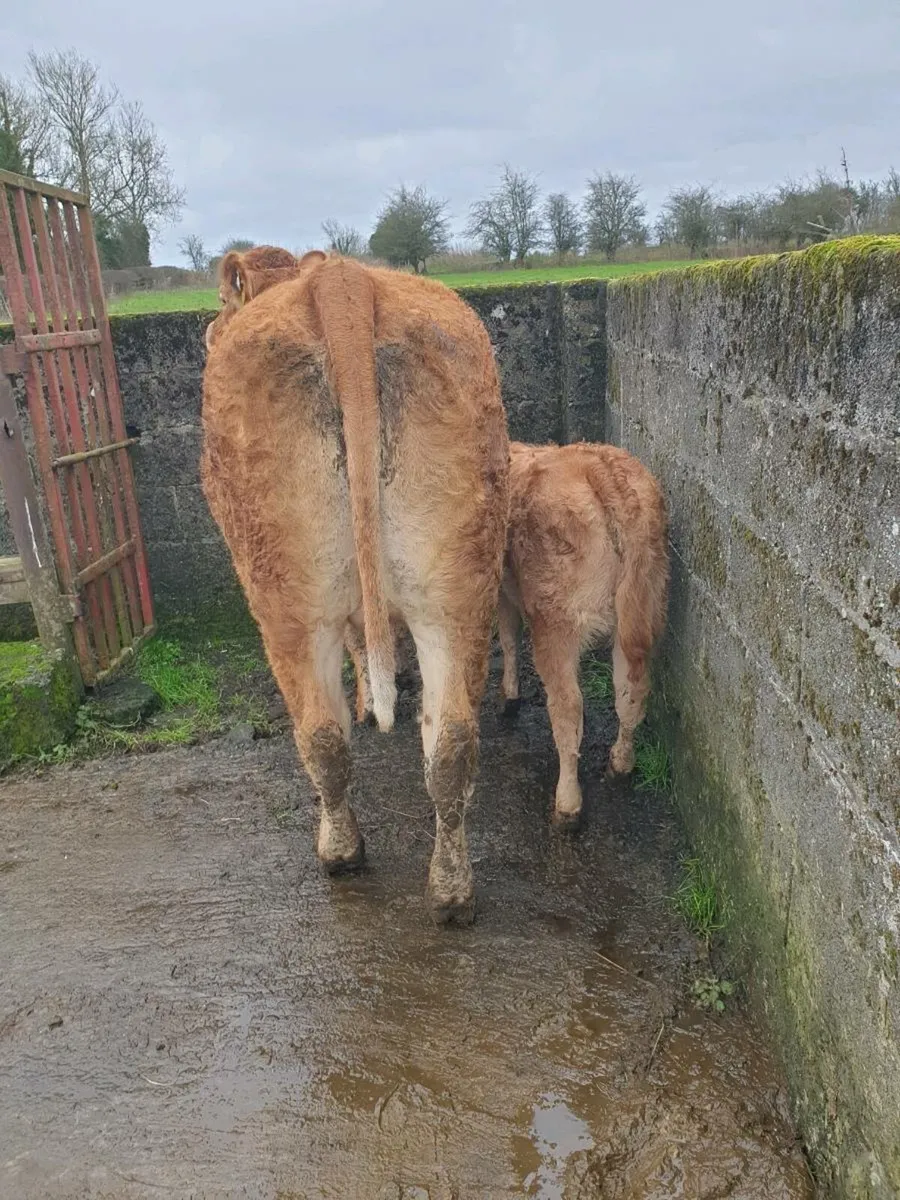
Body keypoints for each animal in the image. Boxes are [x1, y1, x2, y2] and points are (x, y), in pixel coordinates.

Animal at [201, 252, 509, 923]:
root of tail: (340, 279)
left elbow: (359, 655)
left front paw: (370, 701)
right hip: (457, 588)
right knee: (450, 740)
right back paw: (451, 894)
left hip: (283, 596)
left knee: (321, 734)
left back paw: (340, 852)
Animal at [499, 441, 669, 827]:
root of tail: (602, 469)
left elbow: (508, 638)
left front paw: (510, 696)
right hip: (643, 604)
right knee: (631, 690)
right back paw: (620, 764)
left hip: (556, 620)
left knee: (568, 707)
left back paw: (567, 804)